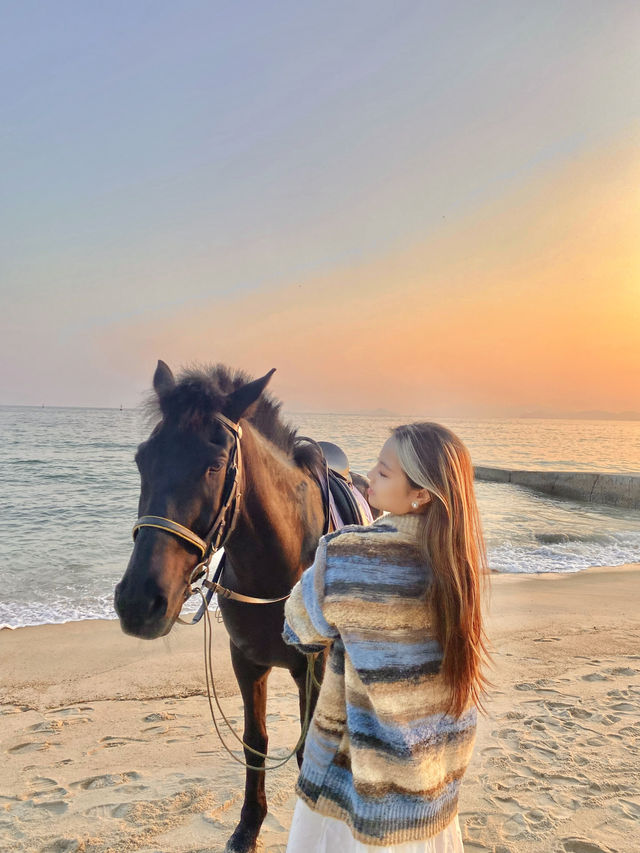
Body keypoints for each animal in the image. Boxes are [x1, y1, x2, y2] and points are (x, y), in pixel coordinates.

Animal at [114, 362, 378, 852]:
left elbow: (306, 749)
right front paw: (248, 826)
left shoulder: (311, 668)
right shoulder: (247, 663)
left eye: (215, 465)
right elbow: (256, 741)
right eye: (143, 459)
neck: (276, 572)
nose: (139, 602)